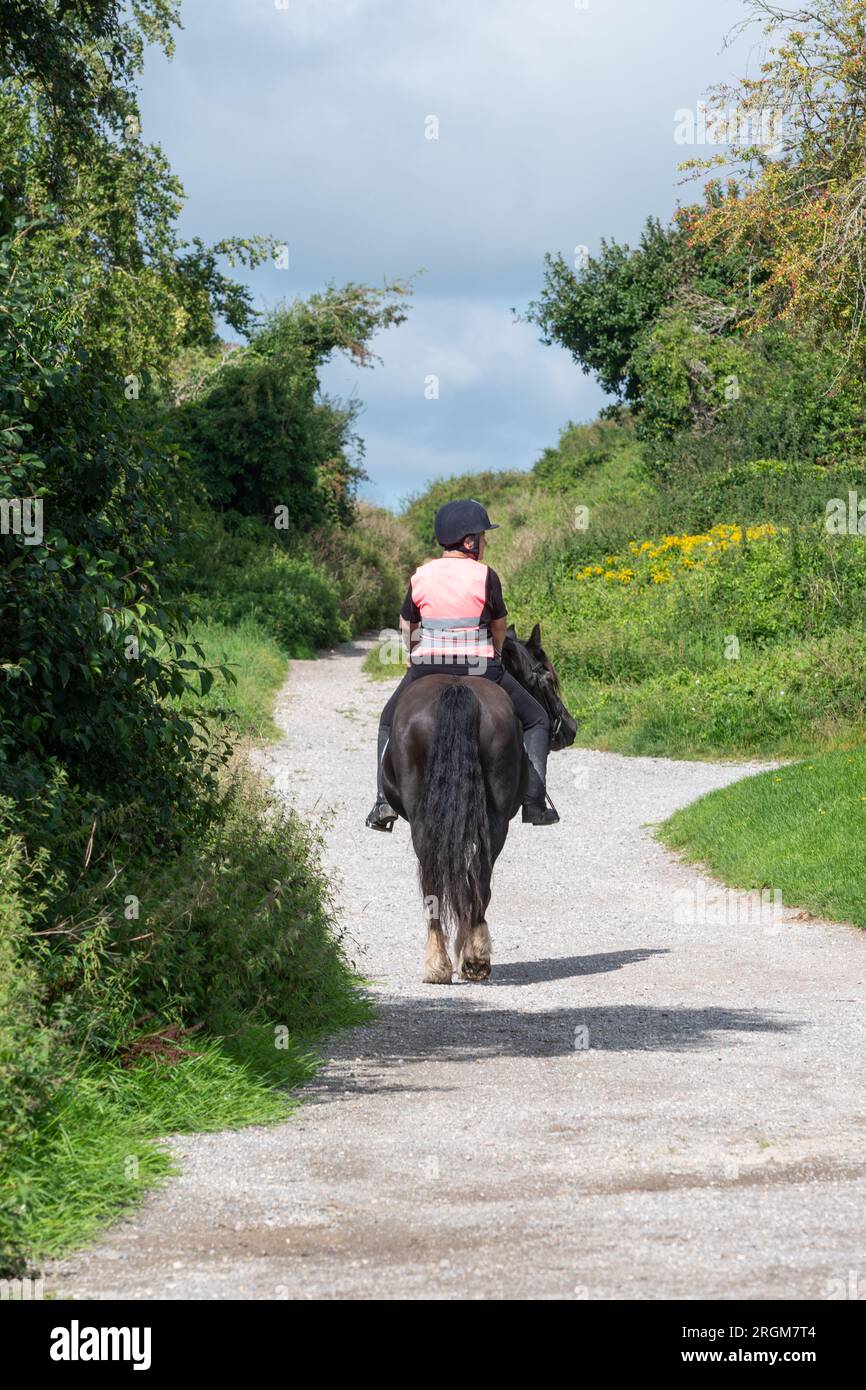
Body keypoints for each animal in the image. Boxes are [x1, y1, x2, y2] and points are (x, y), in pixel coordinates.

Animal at [381, 624, 577, 984]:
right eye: (547, 677)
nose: (570, 728)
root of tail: (458, 688)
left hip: (427, 820)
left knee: (435, 878)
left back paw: (439, 962)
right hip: (495, 821)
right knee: (480, 875)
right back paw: (474, 956)